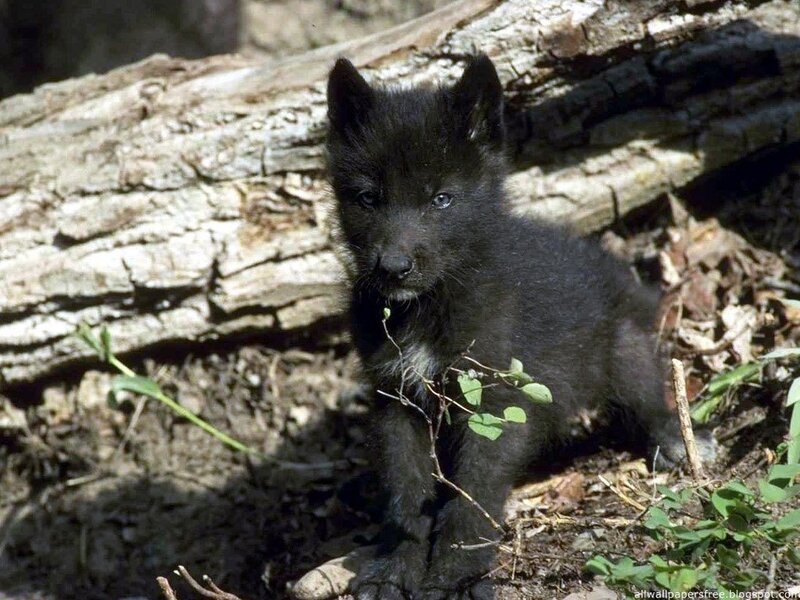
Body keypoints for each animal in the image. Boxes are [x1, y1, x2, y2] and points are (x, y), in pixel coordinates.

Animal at [325, 54, 715, 600]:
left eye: (441, 199)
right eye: (367, 198)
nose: (394, 267)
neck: (429, 307)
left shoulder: (496, 402)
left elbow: (475, 495)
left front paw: (457, 572)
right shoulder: (394, 400)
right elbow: (406, 492)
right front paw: (397, 567)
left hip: (621, 347)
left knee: (649, 391)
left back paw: (678, 440)